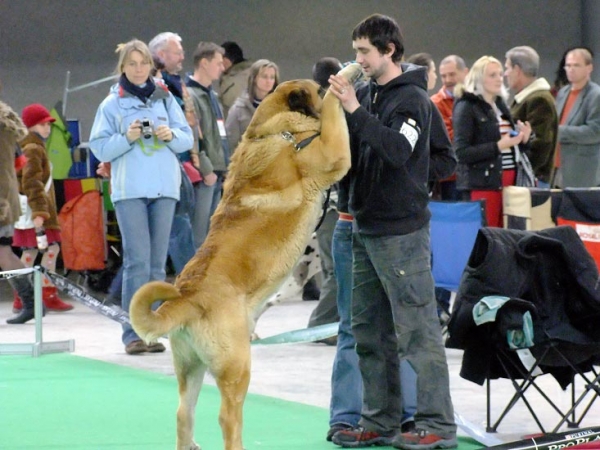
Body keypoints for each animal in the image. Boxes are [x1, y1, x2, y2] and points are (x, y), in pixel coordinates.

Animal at [129, 63, 360, 450]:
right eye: (316, 84)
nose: (332, 72)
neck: (276, 131)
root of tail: (186, 297)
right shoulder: (333, 153)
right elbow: (331, 109)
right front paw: (344, 82)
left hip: (190, 366)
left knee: (183, 412)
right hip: (237, 368)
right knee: (228, 417)